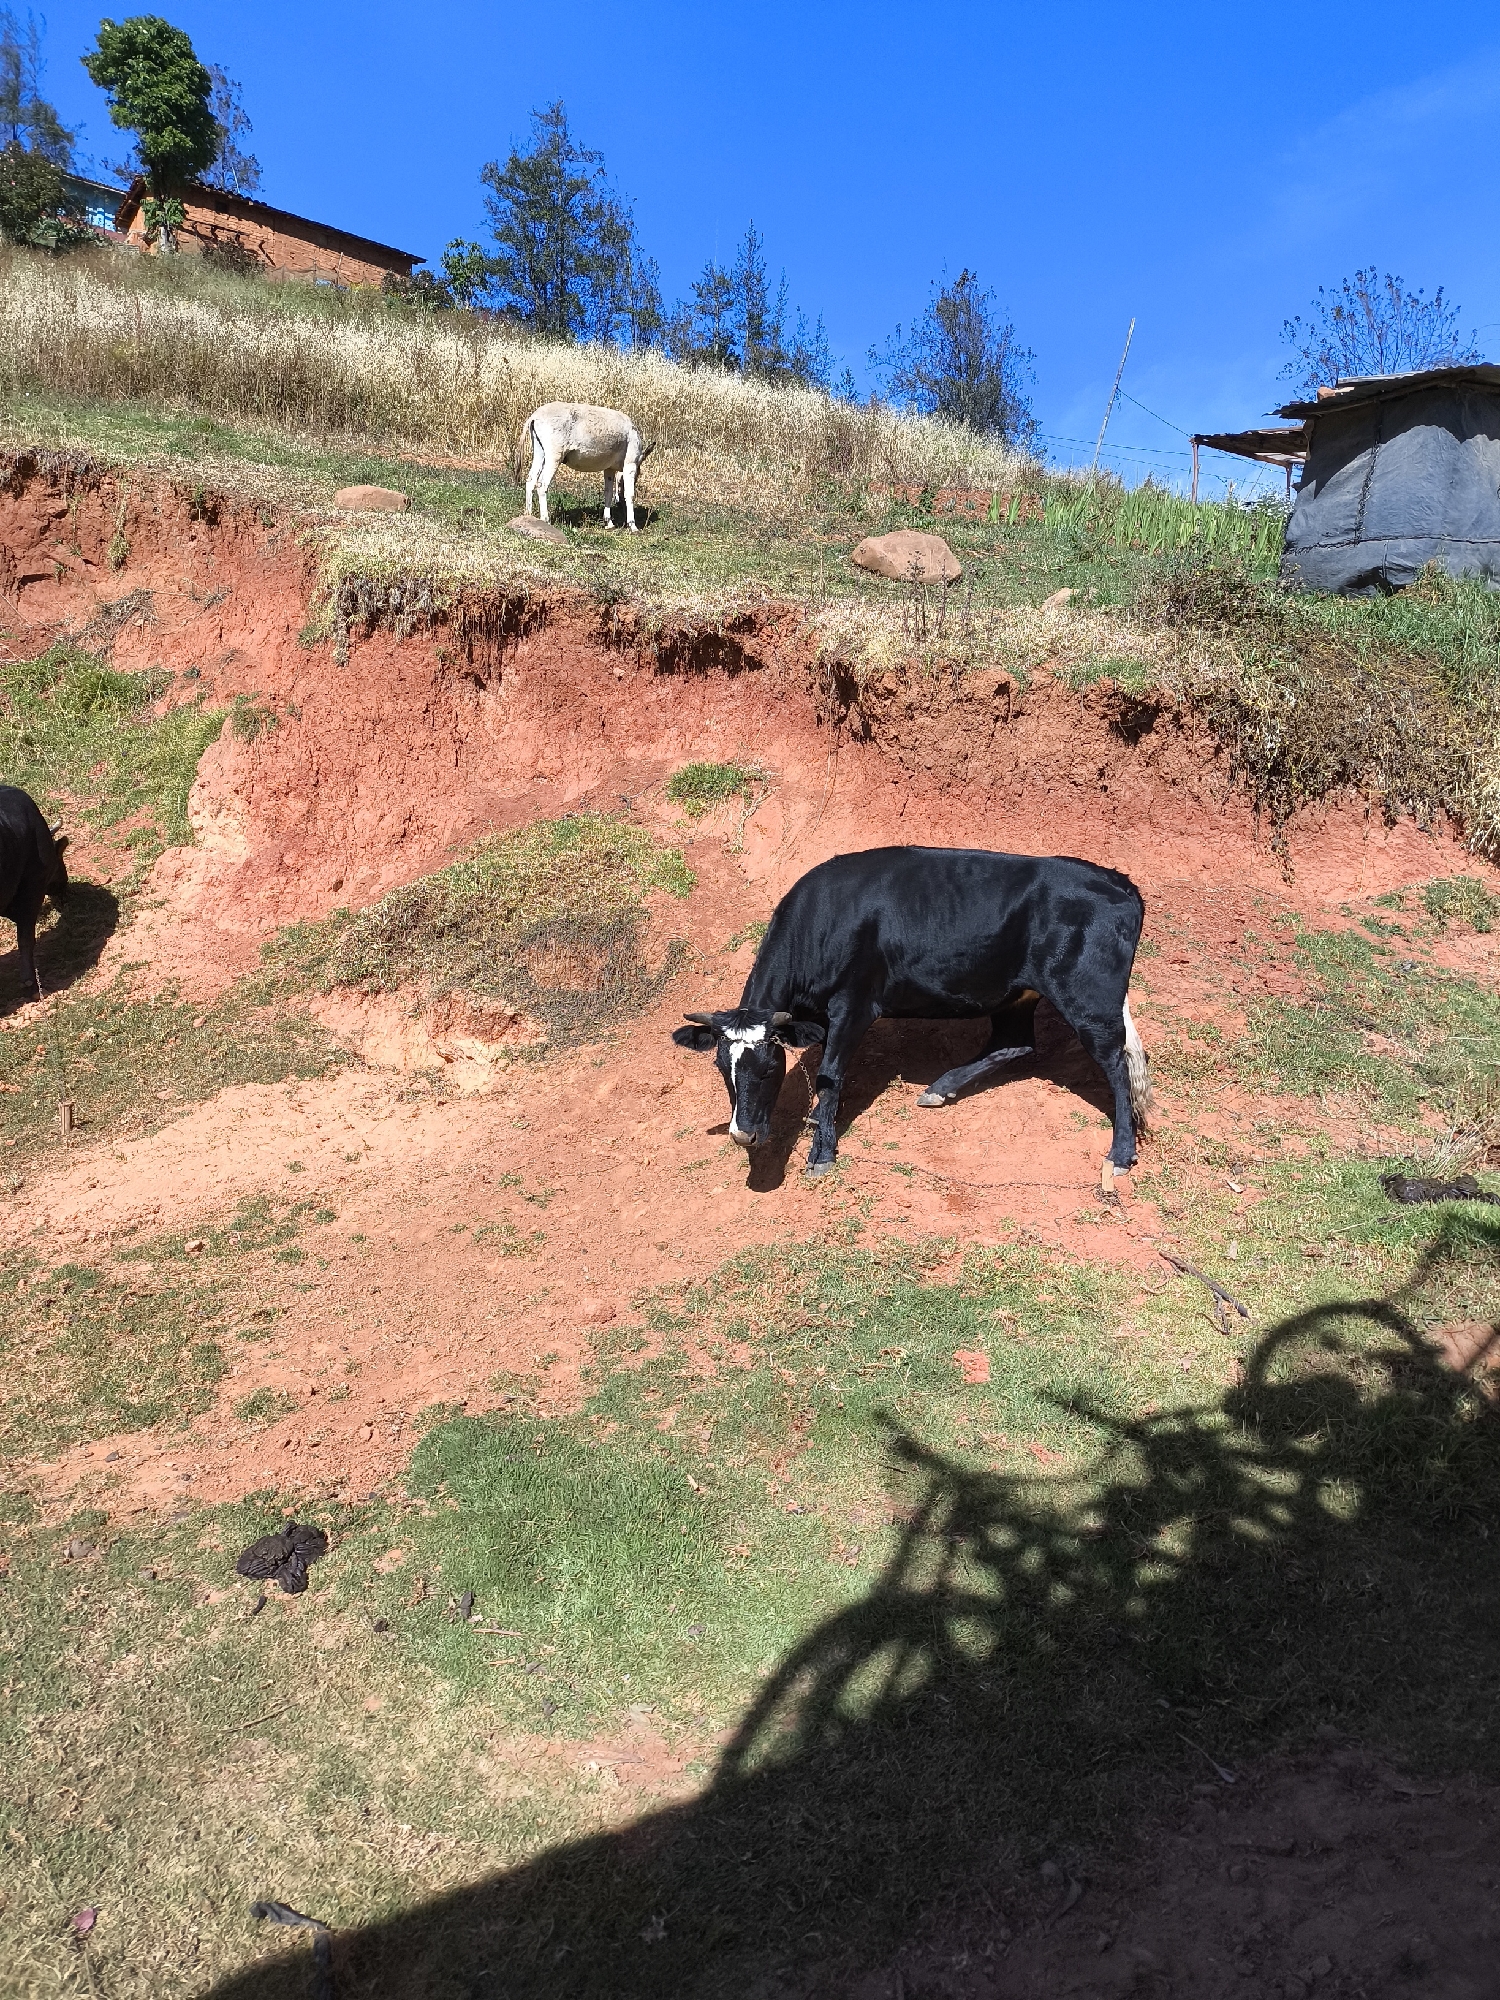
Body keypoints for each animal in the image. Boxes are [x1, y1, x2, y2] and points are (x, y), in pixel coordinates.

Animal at [518, 402, 655, 532]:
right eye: (637, 475)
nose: (619, 504)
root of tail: (536, 415)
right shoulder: (630, 465)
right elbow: (630, 494)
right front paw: (633, 526)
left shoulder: (609, 469)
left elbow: (608, 492)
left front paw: (609, 523)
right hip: (554, 456)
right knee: (542, 484)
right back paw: (545, 520)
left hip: (540, 452)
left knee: (530, 480)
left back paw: (528, 515)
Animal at [671, 847, 1151, 1179]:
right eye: (722, 1069)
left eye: (770, 1066)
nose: (743, 1134)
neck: (821, 921)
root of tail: (1118, 880)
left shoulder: (854, 1006)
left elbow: (829, 1076)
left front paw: (820, 1152)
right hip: (1016, 994)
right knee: (1016, 1042)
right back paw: (940, 1088)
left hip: (1089, 998)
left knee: (1116, 1065)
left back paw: (1120, 1154)